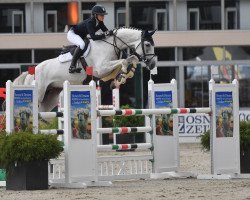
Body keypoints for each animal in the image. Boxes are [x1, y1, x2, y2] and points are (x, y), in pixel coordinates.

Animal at [12, 27, 156, 111]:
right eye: (147, 44)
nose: (153, 64)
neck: (110, 44)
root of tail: (30, 72)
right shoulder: (100, 69)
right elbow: (124, 61)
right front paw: (122, 75)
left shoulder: (106, 71)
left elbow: (132, 58)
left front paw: (120, 78)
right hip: (39, 93)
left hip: (51, 96)